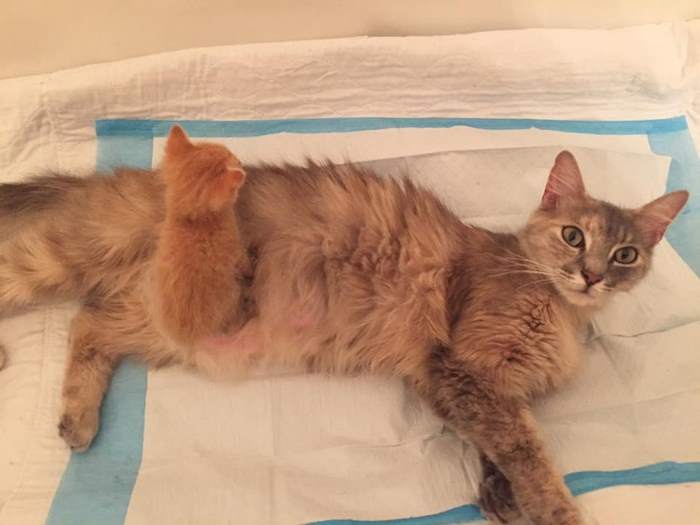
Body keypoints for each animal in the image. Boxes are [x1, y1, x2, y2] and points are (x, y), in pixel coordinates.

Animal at [0, 126, 688, 525]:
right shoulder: (466, 367)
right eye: (573, 236)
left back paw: (77, 420)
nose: (592, 275)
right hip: (64, 262)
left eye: (626, 255)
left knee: (88, 322)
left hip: (165, 323)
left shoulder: (469, 386)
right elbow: (529, 452)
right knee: (37, 285)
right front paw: (553, 511)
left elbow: (499, 447)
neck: (562, 312)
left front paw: (499, 500)